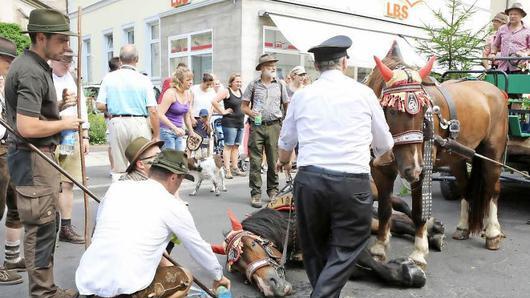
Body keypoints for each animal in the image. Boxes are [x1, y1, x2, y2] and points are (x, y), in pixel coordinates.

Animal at [364, 42, 508, 268]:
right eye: (392, 111)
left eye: (425, 110)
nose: (413, 168)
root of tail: (497, 91)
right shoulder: (379, 170)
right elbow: (384, 209)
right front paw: (379, 248)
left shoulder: (423, 169)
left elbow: (418, 211)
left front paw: (419, 253)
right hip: (457, 158)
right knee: (466, 189)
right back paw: (463, 228)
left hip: (492, 153)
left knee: (493, 190)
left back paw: (493, 233)